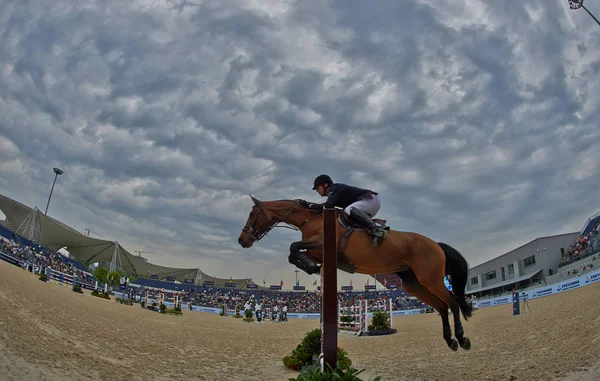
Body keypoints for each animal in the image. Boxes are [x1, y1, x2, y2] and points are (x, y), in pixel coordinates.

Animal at [238, 196, 474, 350]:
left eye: (252, 214)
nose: (242, 240)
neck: (310, 219)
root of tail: (436, 244)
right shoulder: (317, 251)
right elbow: (294, 253)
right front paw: (310, 267)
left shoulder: (321, 243)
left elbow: (293, 247)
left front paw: (310, 267)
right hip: (414, 284)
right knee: (442, 307)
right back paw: (450, 340)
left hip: (430, 279)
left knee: (452, 302)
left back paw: (462, 338)